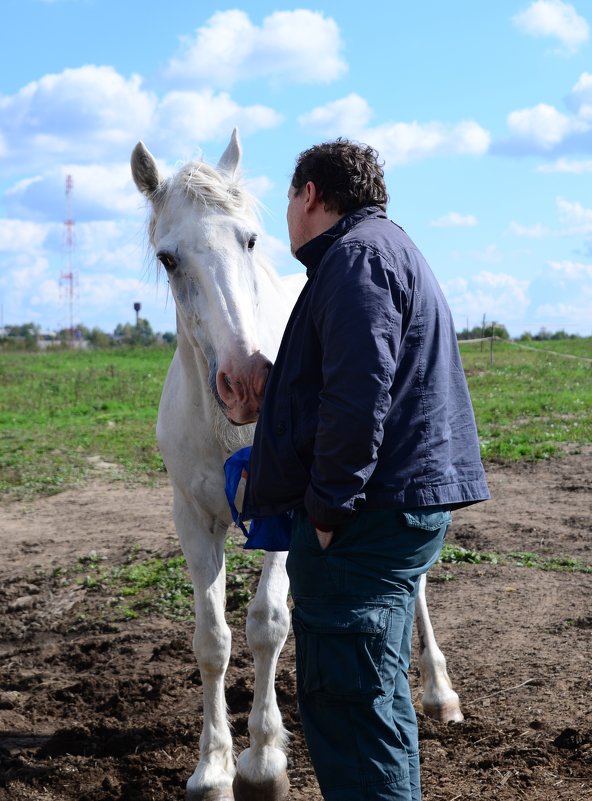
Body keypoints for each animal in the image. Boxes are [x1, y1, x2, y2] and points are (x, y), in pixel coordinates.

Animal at [131, 128, 462, 796]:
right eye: (169, 259)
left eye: (250, 239)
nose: (244, 382)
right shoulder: (192, 519)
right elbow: (212, 640)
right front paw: (213, 767)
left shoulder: (286, 515)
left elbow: (266, 624)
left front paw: (263, 761)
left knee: (412, 585)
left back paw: (439, 692)